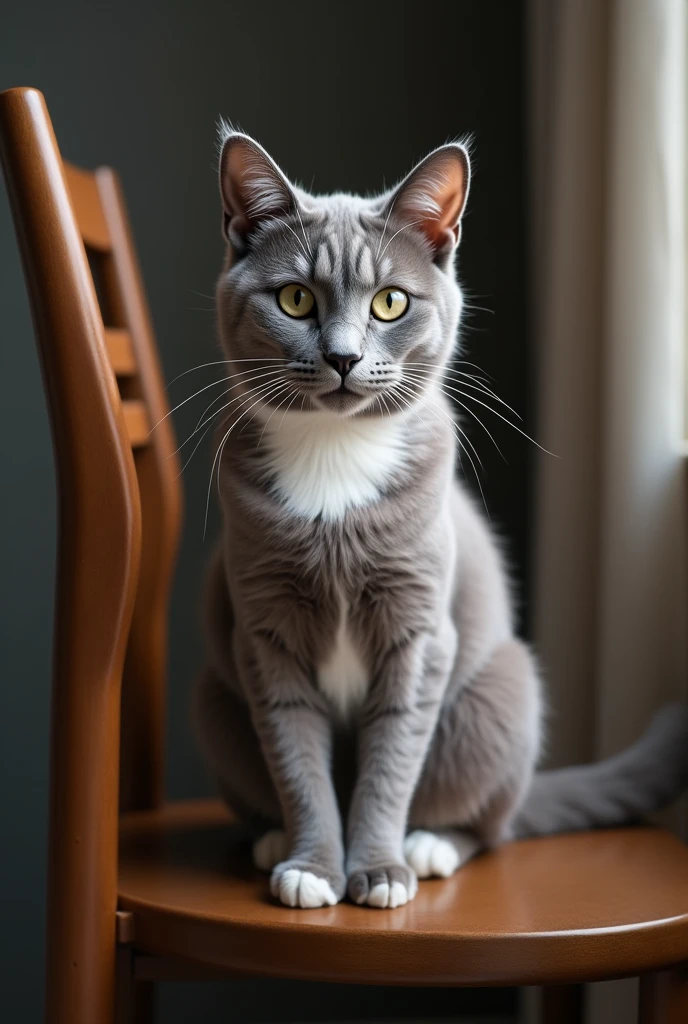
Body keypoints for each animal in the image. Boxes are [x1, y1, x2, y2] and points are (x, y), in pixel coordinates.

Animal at [192, 130, 688, 913]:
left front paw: (378, 871)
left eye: (391, 302)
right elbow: (296, 756)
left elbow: (392, 760)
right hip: (216, 699)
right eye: (295, 298)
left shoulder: (420, 628)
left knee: (489, 825)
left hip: (502, 693)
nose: (343, 357)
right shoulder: (264, 631)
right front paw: (312, 868)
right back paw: (272, 839)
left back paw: (430, 847)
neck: (334, 462)